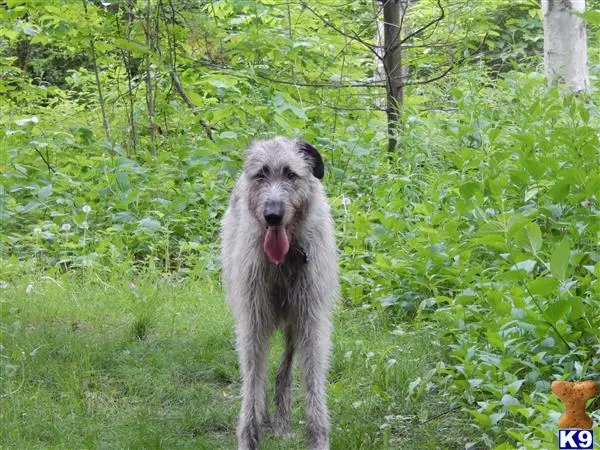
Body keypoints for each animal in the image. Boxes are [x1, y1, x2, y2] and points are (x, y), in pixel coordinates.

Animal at [223, 137, 340, 450]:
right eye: (261, 175)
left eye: (290, 174)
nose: (272, 216)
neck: (283, 261)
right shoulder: (252, 320)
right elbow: (252, 379)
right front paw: (249, 436)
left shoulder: (311, 320)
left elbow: (312, 380)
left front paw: (318, 439)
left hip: (294, 320)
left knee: (284, 368)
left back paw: (282, 420)